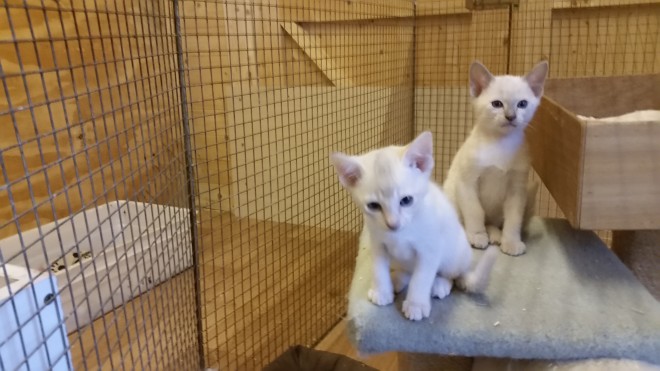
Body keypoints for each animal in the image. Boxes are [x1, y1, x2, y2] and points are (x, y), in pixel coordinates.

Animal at [332, 132, 498, 322]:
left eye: (406, 200)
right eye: (373, 206)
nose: (393, 224)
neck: (400, 234)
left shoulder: (430, 250)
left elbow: (421, 279)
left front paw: (416, 304)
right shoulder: (377, 244)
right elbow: (378, 269)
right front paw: (382, 291)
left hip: (454, 255)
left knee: (451, 275)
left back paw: (440, 284)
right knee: (407, 271)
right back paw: (397, 279)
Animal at [444, 61, 552, 258]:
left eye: (522, 104)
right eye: (497, 104)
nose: (511, 116)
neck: (500, 144)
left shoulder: (517, 188)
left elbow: (513, 218)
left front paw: (511, 242)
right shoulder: (467, 182)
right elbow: (475, 212)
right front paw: (477, 236)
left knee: (493, 222)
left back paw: (496, 235)